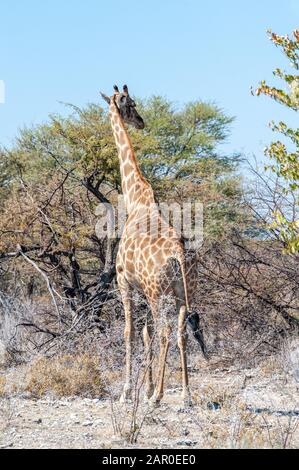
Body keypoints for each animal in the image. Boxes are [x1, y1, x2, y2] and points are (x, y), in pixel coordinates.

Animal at [101, 83, 209, 404]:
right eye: (132, 104)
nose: (141, 121)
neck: (135, 199)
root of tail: (179, 255)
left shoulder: (124, 282)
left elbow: (130, 333)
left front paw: (128, 391)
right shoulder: (143, 290)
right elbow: (145, 333)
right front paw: (145, 387)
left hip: (157, 293)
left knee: (164, 333)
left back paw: (158, 396)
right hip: (183, 292)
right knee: (180, 333)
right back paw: (185, 393)